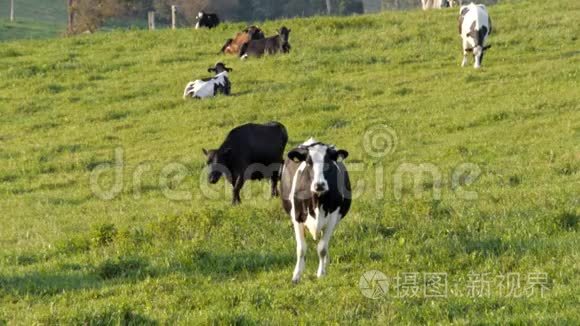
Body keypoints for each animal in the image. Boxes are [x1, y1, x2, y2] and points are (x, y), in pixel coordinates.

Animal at [280, 138, 352, 282]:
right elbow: (301, 248)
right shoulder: (297, 217)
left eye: (329, 162)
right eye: (308, 162)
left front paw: (321, 273)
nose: (319, 185)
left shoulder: (332, 219)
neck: (317, 201)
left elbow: (322, 248)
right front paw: (296, 275)